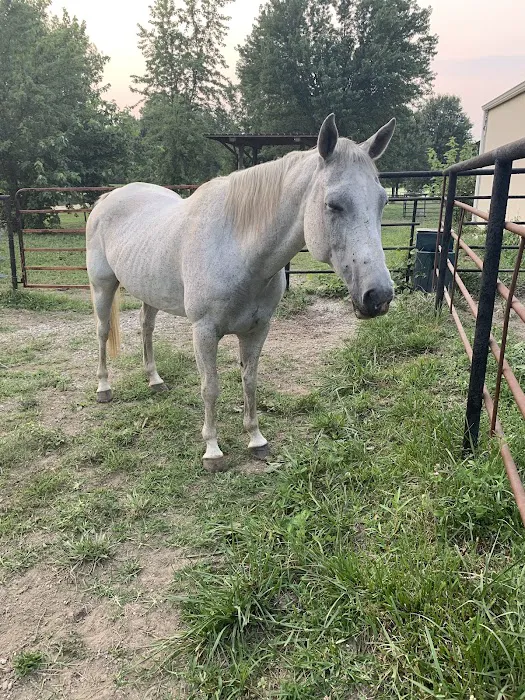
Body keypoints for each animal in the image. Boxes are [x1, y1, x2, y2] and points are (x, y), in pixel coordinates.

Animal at [86, 114, 396, 472]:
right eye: (333, 204)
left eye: (383, 201)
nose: (379, 296)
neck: (237, 246)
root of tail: (107, 199)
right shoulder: (204, 332)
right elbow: (210, 387)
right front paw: (212, 450)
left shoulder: (257, 329)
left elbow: (249, 381)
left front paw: (256, 439)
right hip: (102, 286)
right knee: (102, 332)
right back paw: (104, 387)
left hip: (149, 292)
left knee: (146, 327)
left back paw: (154, 380)